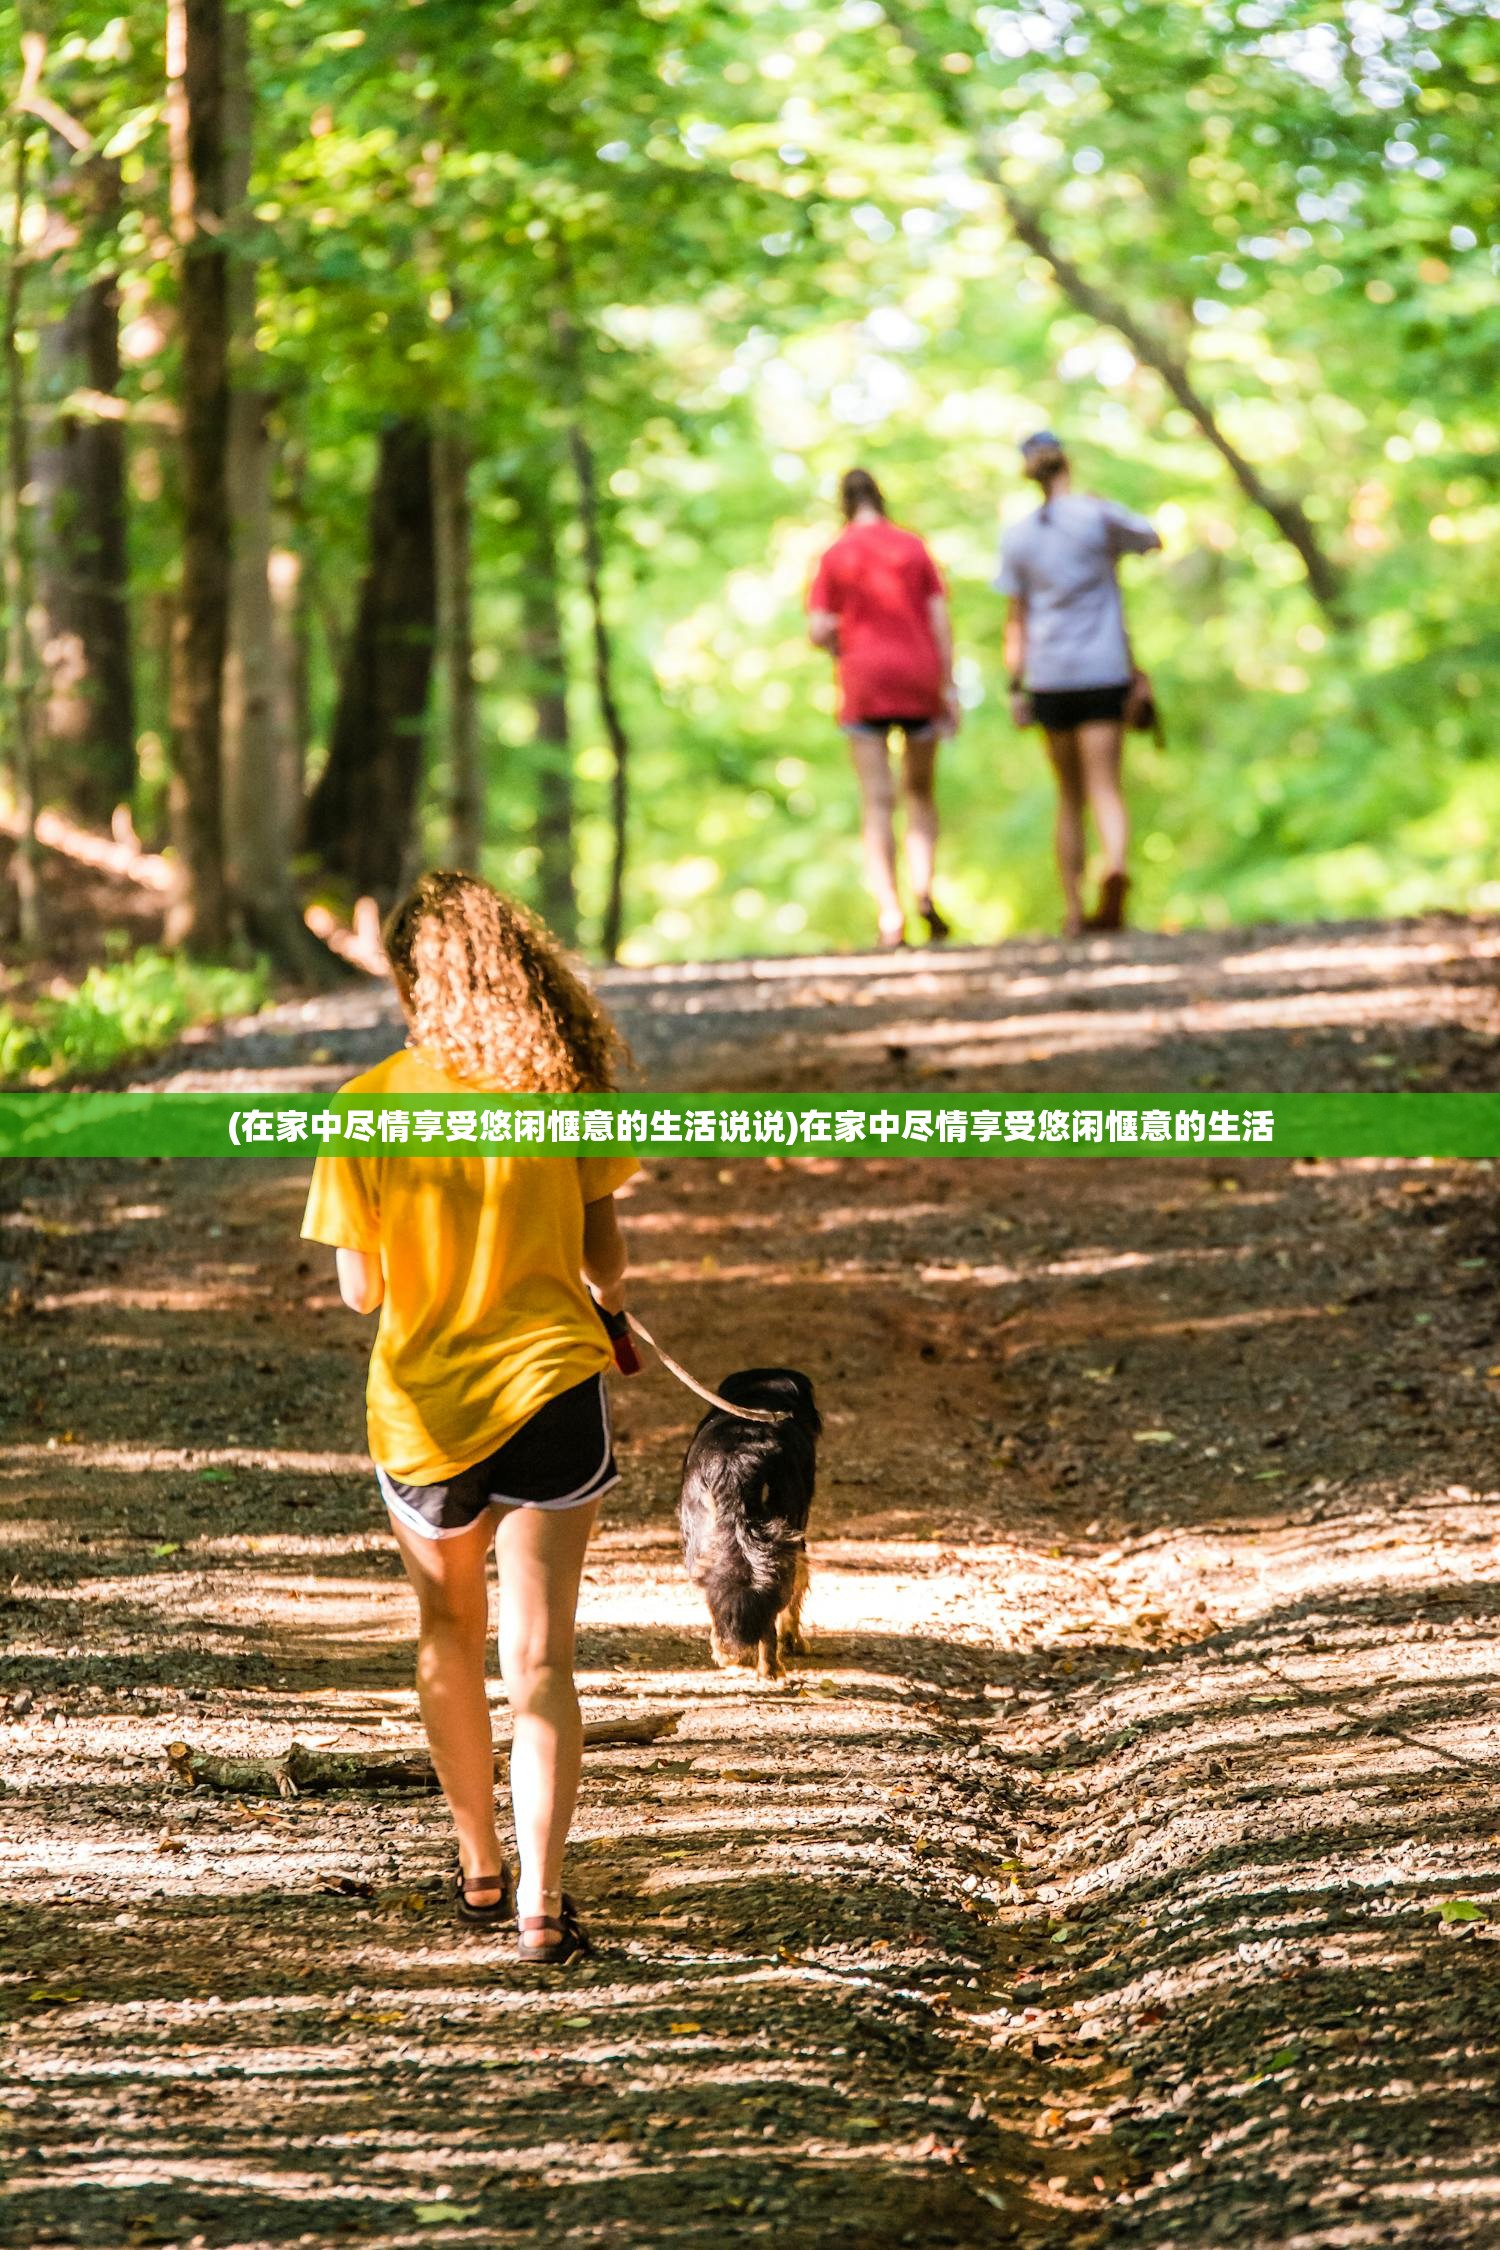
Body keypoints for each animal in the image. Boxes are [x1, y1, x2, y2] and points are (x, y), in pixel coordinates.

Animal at [679, 1359, 823, 1683]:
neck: (760, 1396)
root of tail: (737, 1461)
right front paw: (794, 1641)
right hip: (781, 1546)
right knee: (769, 1605)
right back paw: (771, 1669)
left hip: (702, 1541)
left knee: (719, 1594)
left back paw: (727, 1654)